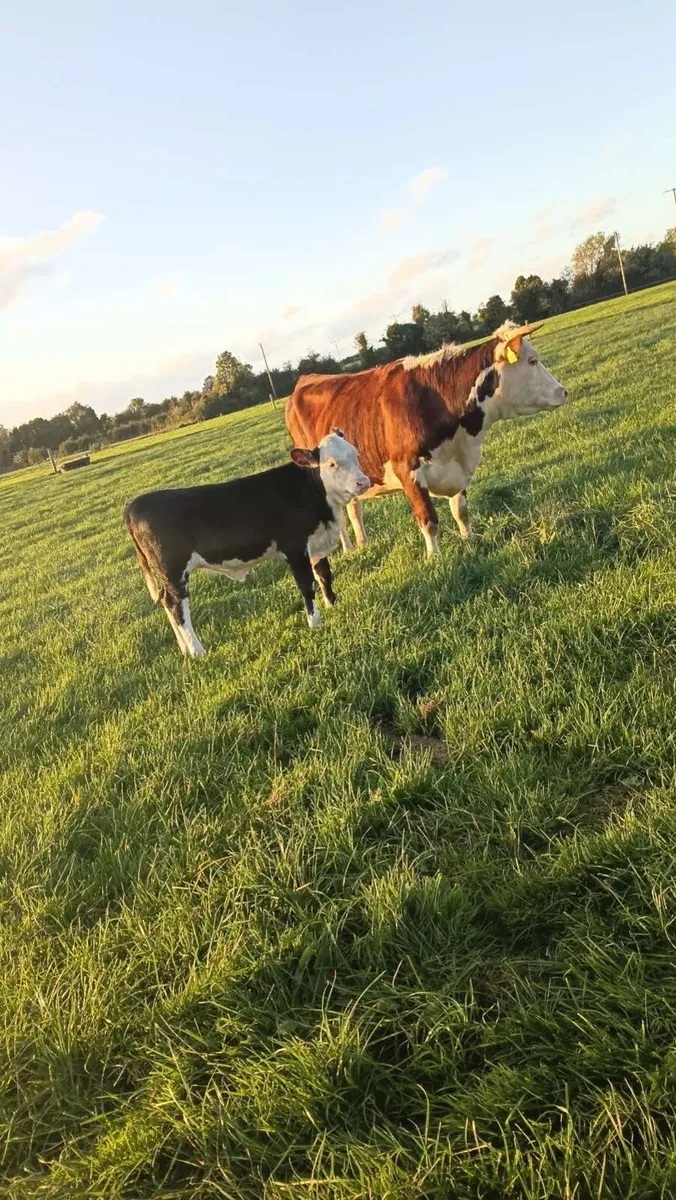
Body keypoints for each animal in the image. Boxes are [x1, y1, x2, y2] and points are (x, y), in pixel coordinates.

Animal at [124, 430, 370, 658]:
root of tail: (135, 504)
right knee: (177, 606)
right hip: (174, 571)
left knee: (166, 602)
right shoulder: (294, 547)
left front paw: (332, 605)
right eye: (331, 463)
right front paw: (315, 624)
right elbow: (306, 585)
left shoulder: (316, 543)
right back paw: (197, 651)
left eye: (355, 454)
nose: (363, 481)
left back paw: (184, 649)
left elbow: (324, 575)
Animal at [286, 322, 568, 558]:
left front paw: (469, 539)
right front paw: (435, 559)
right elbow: (428, 519)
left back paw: (363, 544)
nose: (564, 392)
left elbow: (460, 510)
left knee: (354, 509)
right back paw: (348, 549)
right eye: (532, 361)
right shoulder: (407, 469)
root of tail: (306, 378)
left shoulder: (458, 467)